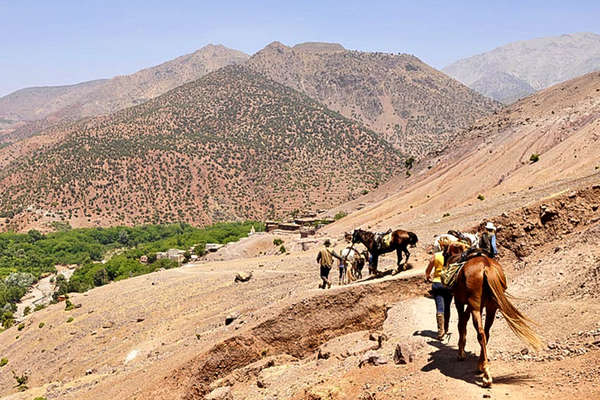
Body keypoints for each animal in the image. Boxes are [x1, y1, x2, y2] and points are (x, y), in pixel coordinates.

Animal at [440, 245, 544, 386]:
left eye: (444, 255)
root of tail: (486, 267)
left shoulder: (459, 301)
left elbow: (461, 324)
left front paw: (461, 353)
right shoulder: (474, 305)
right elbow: (464, 320)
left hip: (477, 306)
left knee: (481, 333)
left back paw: (486, 375)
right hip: (491, 307)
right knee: (486, 333)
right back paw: (481, 366)